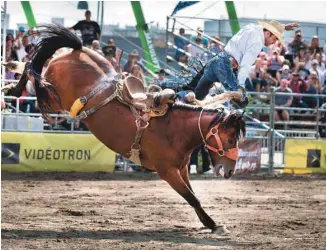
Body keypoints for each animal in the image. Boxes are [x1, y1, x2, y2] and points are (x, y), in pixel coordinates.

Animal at [4, 24, 244, 234]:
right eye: (231, 140)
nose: (230, 171)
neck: (174, 129)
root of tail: (78, 49)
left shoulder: (182, 168)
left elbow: (193, 196)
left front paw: (210, 223)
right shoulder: (166, 171)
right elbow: (191, 197)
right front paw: (214, 224)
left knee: (36, 66)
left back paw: (12, 76)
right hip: (55, 96)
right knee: (34, 70)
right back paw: (13, 82)